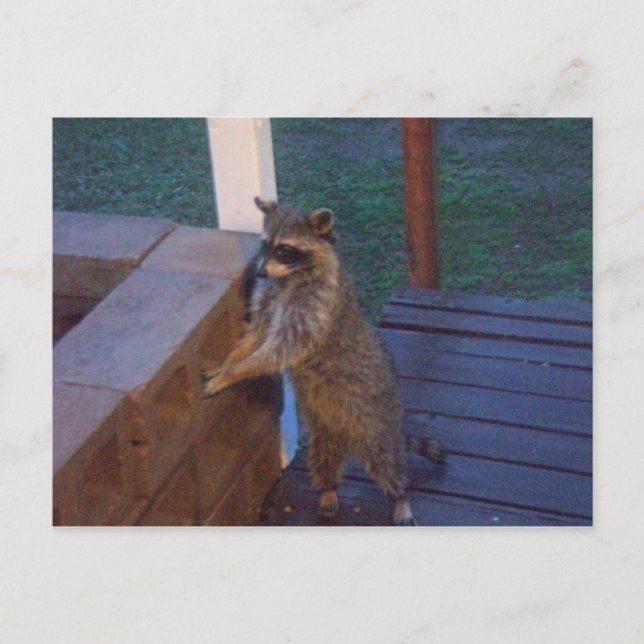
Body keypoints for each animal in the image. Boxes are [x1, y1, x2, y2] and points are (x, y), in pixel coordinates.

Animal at [202, 197, 442, 525]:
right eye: (264, 245)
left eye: (284, 249)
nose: (260, 273)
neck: (288, 277)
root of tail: (348, 437)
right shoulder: (269, 300)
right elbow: (256, 335)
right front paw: (230, 363)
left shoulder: (315, 306)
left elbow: (282, 348)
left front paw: (236, 372)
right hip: (323, 431)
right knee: (323, 459)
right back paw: (328, 489)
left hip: (376, 418)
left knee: (386, 461)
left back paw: (400, 496)